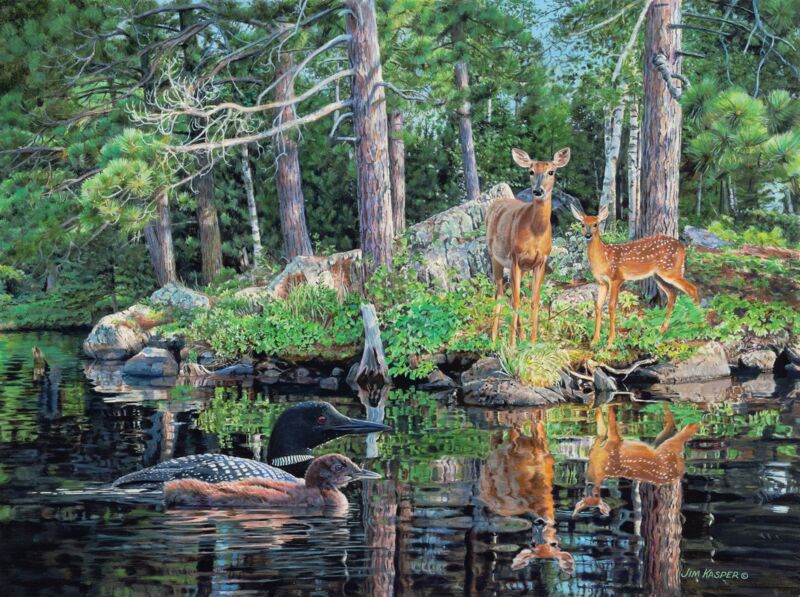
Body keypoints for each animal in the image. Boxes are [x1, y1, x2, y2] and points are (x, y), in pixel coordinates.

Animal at [487, 147, 571, 348]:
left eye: (551, 171)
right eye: (531, 171)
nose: (538, 190)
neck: (535, 233)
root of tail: (495, 203)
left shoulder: (541, 261)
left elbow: (534, 300)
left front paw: (532, 341)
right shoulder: (516, 257)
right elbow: (517, 301)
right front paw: (511, 345)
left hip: (521, 267)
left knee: (508, 293)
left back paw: (522, 336)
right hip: (495, 257)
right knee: (500, 293)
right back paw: (494, 338)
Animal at [569, 203, 700, 347]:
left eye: (595, 224)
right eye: (582, 224)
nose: (587, 235)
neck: (603, 257)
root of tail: (683, 247)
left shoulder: (616, 278)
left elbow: (611, 306)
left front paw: (610, 341)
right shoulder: (602, 282)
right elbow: (598, 307)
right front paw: (594, 341)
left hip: (671, 271)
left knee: (692, 289)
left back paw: (695, 324)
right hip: (659, 276)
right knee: (672, 294)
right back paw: (663, 329)